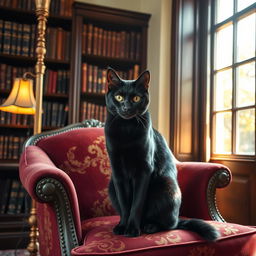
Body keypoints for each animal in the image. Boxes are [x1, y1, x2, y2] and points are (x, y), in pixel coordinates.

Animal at [103, 67, 219, 240]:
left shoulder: (144, 169)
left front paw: (132, 229)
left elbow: (137, 203)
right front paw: (123, 226)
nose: (126, 108)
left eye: (136, 98)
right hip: (111, 186)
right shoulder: (118, 172)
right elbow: (125, 204)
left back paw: (149, 226)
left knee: (169, 224)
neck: (126, 129)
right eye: (119, 97)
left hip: (167, 185)